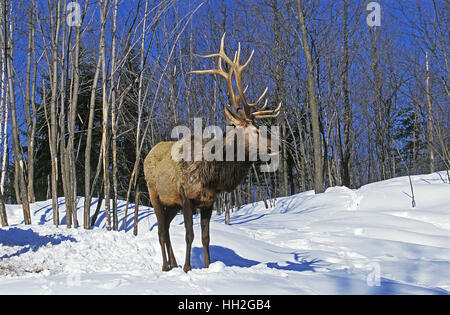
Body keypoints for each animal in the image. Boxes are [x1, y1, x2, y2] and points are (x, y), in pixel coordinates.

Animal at [143, 33, 282, 272]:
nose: (276, 145)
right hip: (155, 195)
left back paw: (173, 263)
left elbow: (206, 237)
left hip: (171, 204)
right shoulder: (185, 196)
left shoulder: (208, 201)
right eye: (255, 129)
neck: (212, 175)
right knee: (161, 231)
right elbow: (189, 234)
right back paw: (166, 266)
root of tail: (147, 154)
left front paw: (207, 267)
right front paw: (188, 268)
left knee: (167, 229)